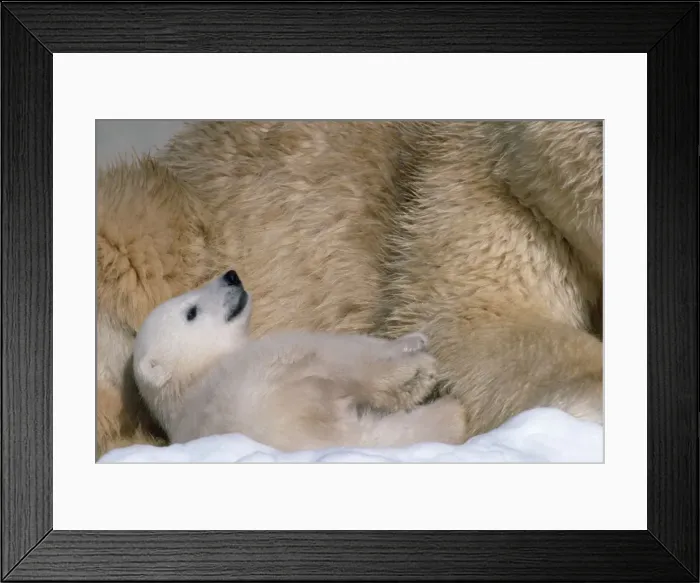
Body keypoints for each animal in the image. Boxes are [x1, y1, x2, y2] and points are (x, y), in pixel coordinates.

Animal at [132, 268, 467, 451]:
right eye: (191, 312)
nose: (231, 276)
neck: (193, 377)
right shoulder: (266, 356)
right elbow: (346, 350)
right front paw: (413, 350)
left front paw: (414, 339)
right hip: (287, 385)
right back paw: (428, 387)